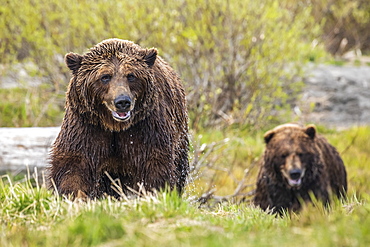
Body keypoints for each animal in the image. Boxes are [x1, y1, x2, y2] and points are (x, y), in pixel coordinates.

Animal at [47, 38, 189, 199]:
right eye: (105, 77)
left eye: (131, 75)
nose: (122, 102)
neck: (114, 126)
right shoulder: (86, 125)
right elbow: (74, 163)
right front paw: (73, 195)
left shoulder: (146, 127)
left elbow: (154, 163)